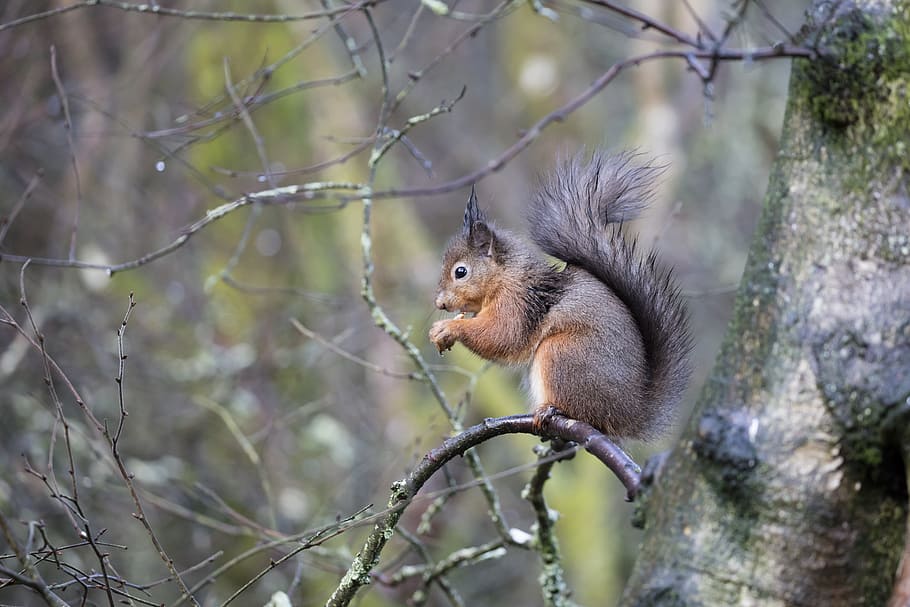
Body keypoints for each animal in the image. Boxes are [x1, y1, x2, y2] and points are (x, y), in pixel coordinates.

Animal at [428, 151, 692, 440]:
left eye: (460, 272)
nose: (439, 303)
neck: (504, 276)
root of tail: (630, 413)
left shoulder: (517, 302)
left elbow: (503, 335)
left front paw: (449, 328)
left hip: (562, 354)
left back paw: (552, 410)